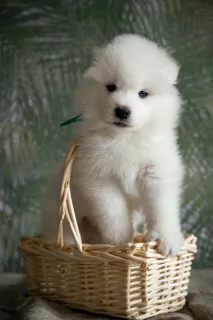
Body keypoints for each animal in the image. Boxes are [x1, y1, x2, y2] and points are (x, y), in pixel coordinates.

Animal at [42, 33, 184, 256]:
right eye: (111, 87)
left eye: (143, 94)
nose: (122, 111)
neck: (124, 137)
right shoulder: (99, 176)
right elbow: (113, 211)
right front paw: (120, 241)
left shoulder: (156, 171)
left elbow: (162, 207)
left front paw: (166, 239)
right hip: (59, 213)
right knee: (64, 230)